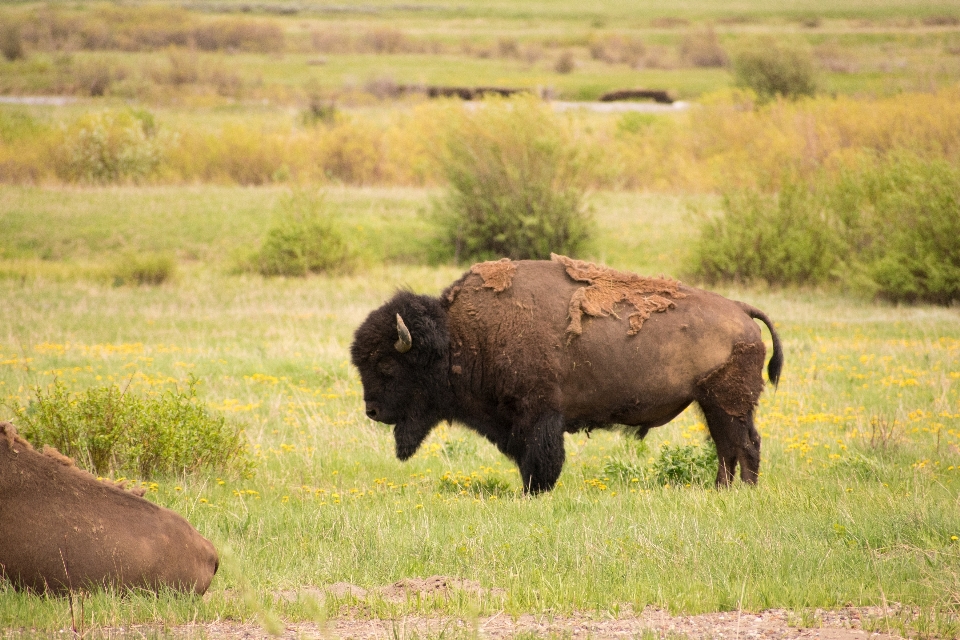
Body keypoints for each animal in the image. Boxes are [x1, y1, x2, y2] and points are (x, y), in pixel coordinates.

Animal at [348, 256, 784, 496]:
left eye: (387, 366)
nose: (372, 411)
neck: (461, 335)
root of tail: (741, 310)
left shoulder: (539, 415)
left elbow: (541, 459)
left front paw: (533, 493)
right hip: (713, 404)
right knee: (728, 447)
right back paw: (722, 491)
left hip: (728, 402)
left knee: (743, 445)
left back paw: (740, 493)